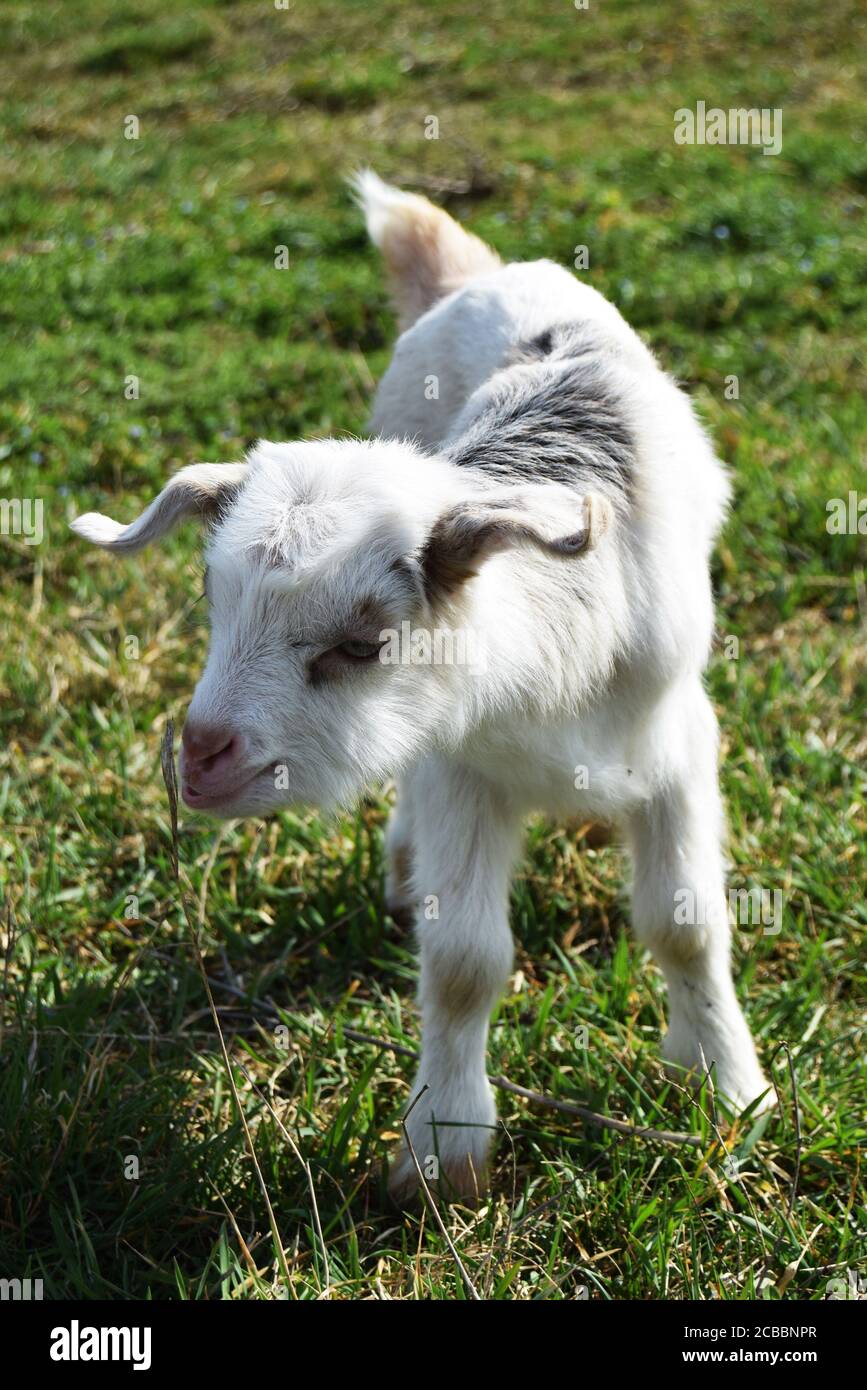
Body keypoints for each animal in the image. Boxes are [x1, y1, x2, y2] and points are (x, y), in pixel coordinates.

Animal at [72, 171, 771, 1202]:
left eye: (363, 643)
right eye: (211, 597)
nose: (199, 759)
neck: (551, 680)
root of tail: (481, 274)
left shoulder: (679, 748)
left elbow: (685, 926)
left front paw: (726, 1088)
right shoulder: (458, 765)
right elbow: (464, 961)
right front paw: (443, 1153)